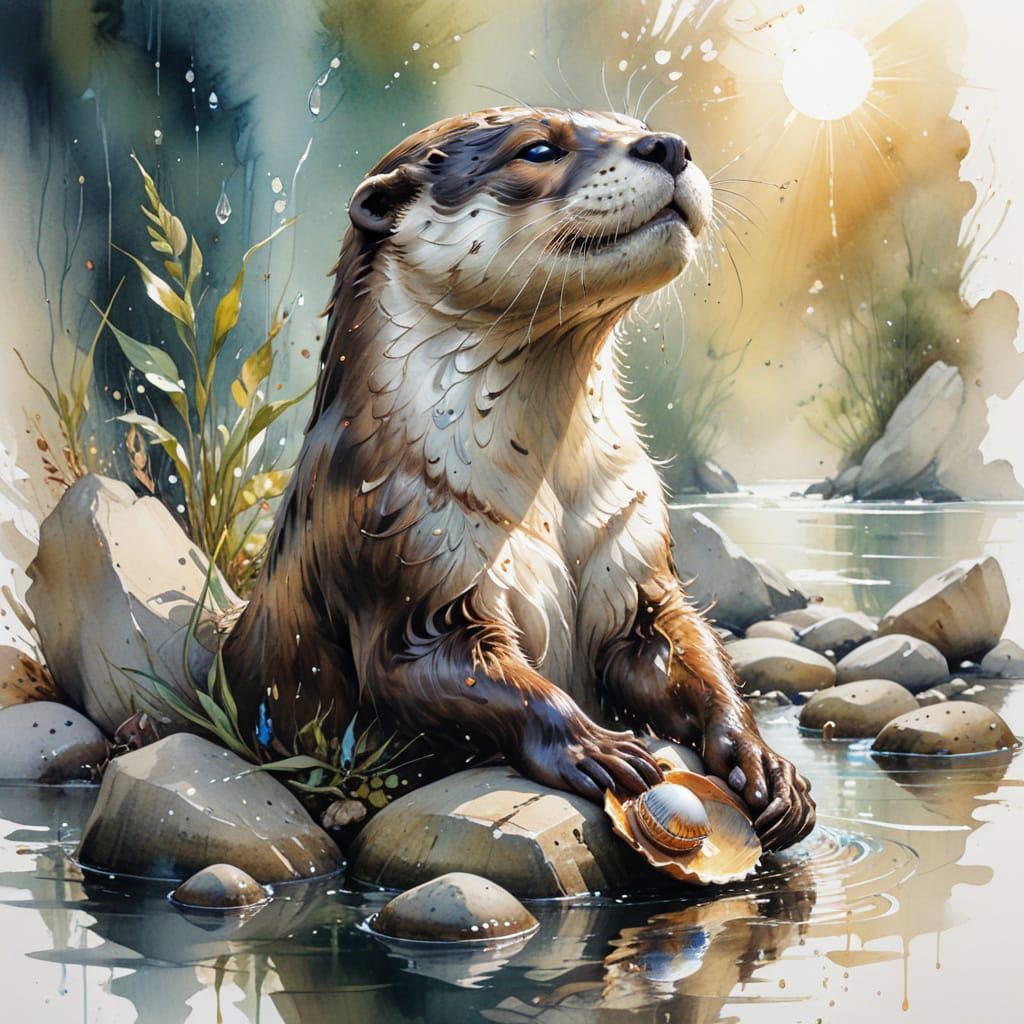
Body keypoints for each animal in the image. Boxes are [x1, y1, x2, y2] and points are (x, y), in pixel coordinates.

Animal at [225, 106, 814, 851]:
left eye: (634, 123)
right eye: (537, 149)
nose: (670, 145)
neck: (543, 492)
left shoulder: (631, 540)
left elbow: (679, 643)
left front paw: (761, 759)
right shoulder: (393, 535)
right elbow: (436, 667)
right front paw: (595, 747)